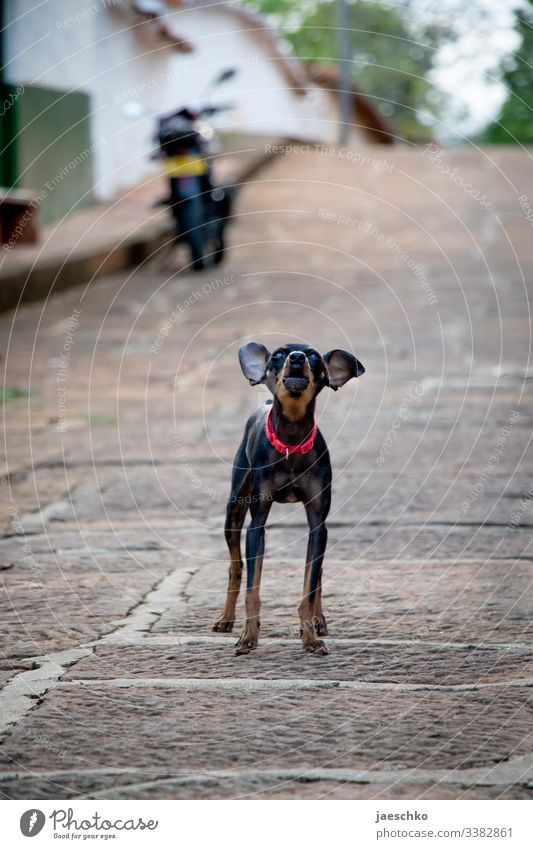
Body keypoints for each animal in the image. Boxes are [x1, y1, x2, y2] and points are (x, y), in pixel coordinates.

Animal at [212, 342, 366, 652]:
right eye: (278, 355)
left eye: (314, 356)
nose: (297, 358)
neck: (292, 440)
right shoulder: (256, 523)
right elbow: (252, 587)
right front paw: (248, 637)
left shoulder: (318, 524)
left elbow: (309, 585)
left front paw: (311, 637)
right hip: (234, 510)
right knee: (236, 567)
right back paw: (226, 619)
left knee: (318, 574)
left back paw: (318, 621)